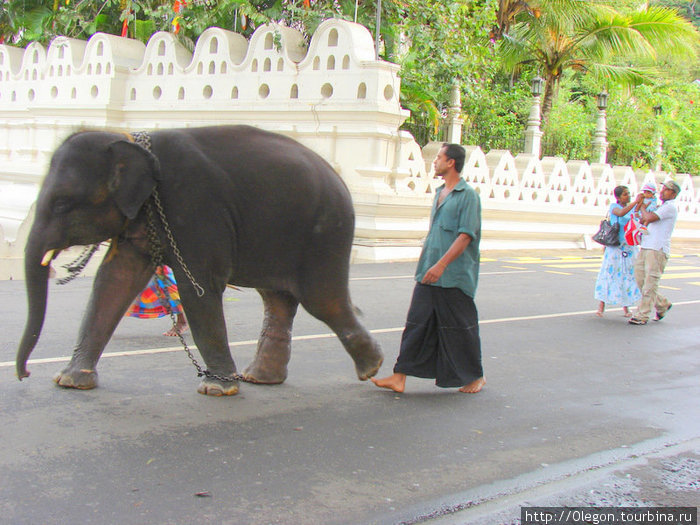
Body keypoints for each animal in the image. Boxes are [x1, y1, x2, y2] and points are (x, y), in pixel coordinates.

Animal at [15, 125, 382, 396]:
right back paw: (261, 378)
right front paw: (70, 381)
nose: (25, 375)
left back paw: (372, 369)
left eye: (62, 203)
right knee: (278, 300)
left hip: (326, 234)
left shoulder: (193, 210)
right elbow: (113, 282)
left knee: (323, 301)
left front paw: (216, 389)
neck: (131, 137)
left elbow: (198, 290)